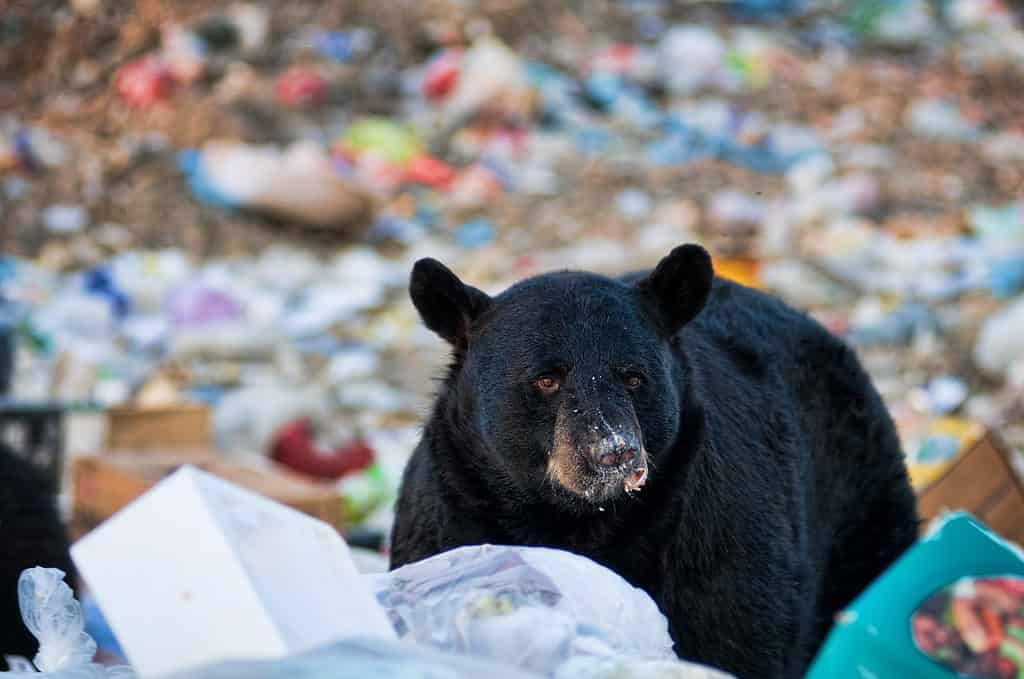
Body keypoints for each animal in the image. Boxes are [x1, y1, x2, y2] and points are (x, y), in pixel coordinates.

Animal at [391, 241, 921, 675]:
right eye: (546, 379)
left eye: (633, 376)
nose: (613, 452)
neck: (579, 521)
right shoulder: (451, 515)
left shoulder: (720, 547)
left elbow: (739, 635)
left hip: (861, 509)